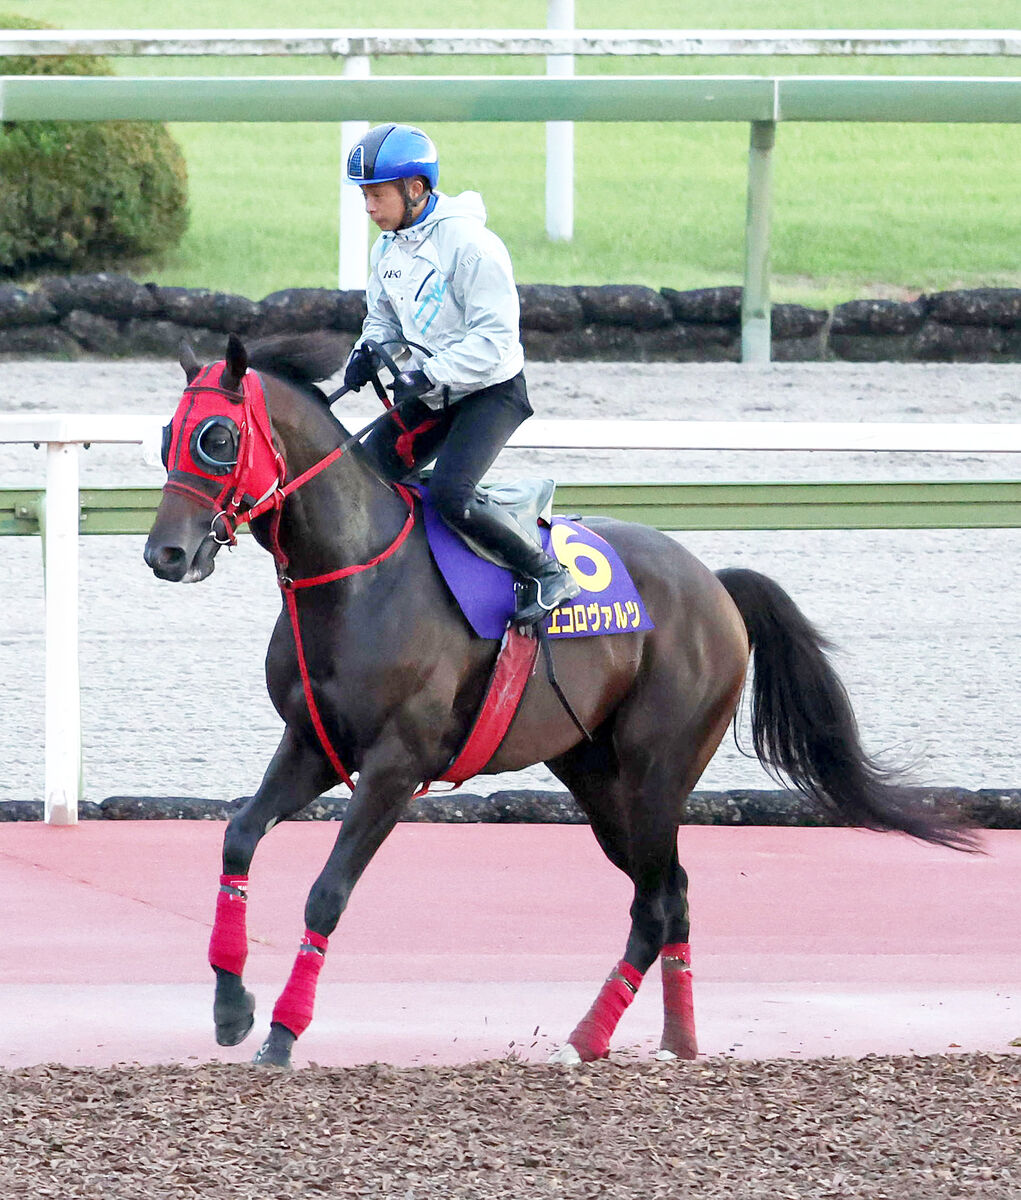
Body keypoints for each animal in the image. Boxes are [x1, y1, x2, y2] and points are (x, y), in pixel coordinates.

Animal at [143, 331, 974, 1070]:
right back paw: (669, 1039)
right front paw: (230, 1007)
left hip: (656, 772)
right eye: (165, 437)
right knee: (669, 893)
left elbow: (326, 895)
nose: (165, 553)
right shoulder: (313, 743)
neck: (355, 576)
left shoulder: (394, 767)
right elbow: (238, 837)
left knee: (655, 901)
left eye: (216, 437)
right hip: (596, 777)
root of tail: (715, 585)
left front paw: (283, 1033)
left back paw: (588, 1037)